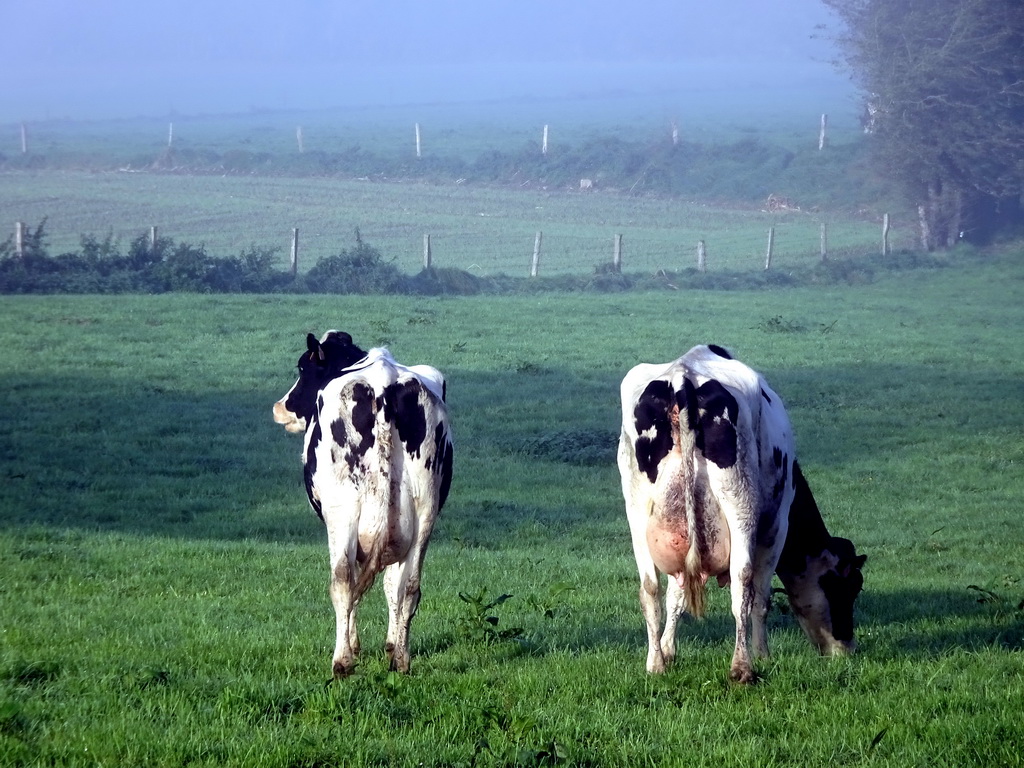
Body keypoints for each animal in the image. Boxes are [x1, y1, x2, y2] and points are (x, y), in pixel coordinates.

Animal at [272, 331, 452, 679]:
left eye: (302, 367)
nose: (280, 408)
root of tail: (383, 384)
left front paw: (354, 647)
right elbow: (392, 586)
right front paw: (391, 645)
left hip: (342, 512)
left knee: (342, 582)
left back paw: (342, 662)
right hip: (425, 511)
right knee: (409, 587)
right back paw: (401, 661)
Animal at [614, 346, 864, 684]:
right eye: (846, 588)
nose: (847, 649)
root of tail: (683, 376)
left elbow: (676, 595)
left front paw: (668, 650)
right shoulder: (776, 524)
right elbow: (761, 597)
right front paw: (764, 654)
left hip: (637, 507)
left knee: (650, 587)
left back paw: (655, 665)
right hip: (740, 503)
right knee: (742, 583)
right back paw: (742, 666)